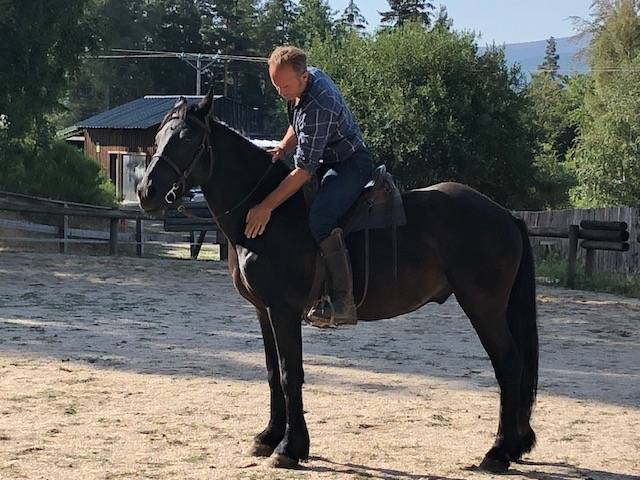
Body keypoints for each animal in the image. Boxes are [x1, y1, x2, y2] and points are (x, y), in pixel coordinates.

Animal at [137, 90, 539, 473]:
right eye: (158, 137)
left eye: (187, 138)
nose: (146, 192)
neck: (268, 212)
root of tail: (505, 214)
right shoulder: (264, 311)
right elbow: (272, 372)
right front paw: (268, 437)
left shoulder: (284, 311)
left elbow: (290, 373)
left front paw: (291, 448)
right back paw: (512, 447)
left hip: (483, 306)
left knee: (508, 364)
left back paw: (498, 452)